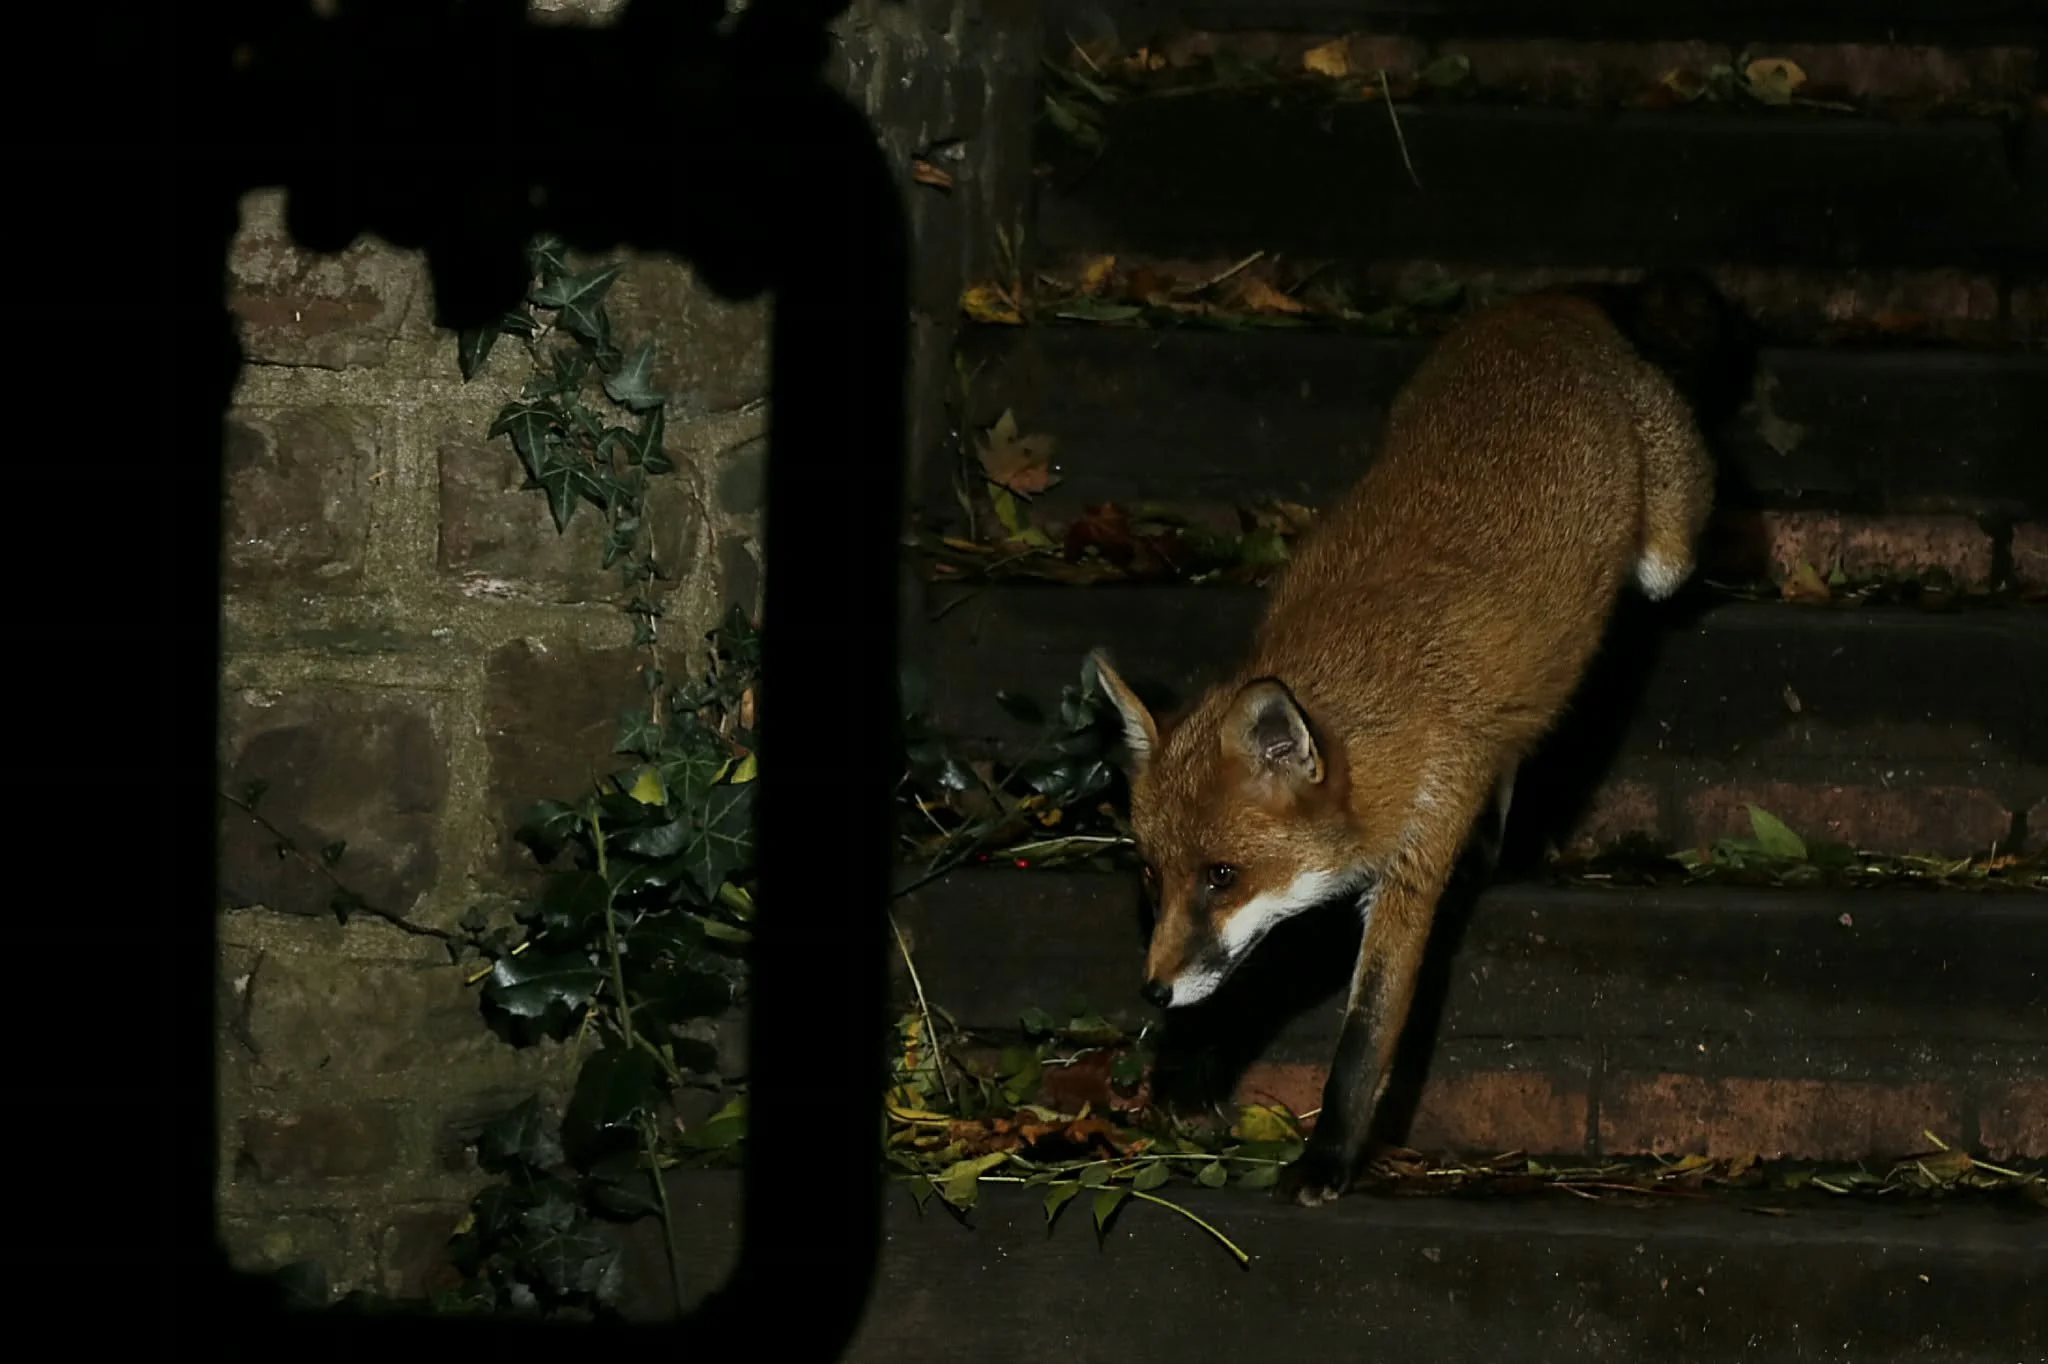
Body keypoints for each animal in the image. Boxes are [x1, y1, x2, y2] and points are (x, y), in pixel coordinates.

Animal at [1090, 275, 1739, 1207]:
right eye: (1150, 874)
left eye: (1220, 876)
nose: (1154, 990)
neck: (1378, 697)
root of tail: (1547, 303)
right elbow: (1269, 963)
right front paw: (1201, 1063)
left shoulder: (1408, 873)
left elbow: (1362, 1046)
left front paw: (1327, 1159)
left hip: (1666, 553)